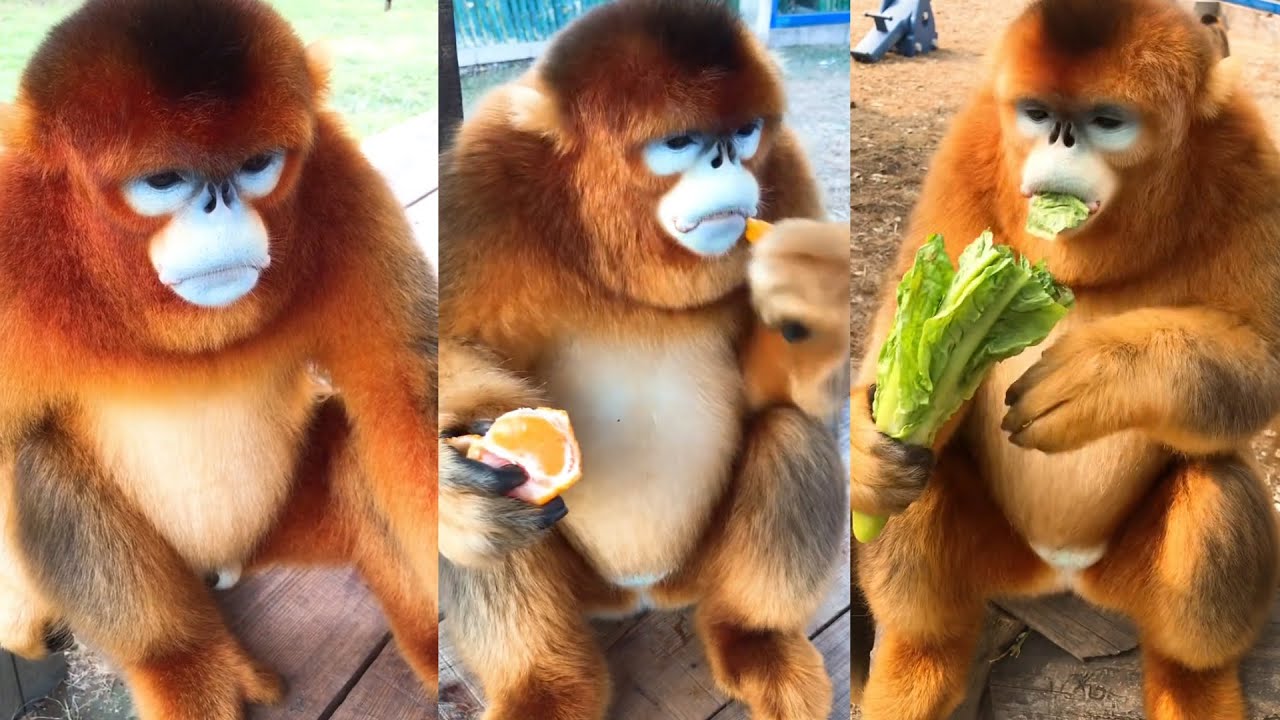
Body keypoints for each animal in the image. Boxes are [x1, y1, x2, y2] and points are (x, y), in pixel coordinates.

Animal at [0, 1, 438, 717]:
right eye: (164, 181)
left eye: (257, 163)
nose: (220, 205)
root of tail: (227, 561)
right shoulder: (14, 236)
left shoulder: (340, 187)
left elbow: (406, 392)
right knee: (42, 457)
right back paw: (185, 662)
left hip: (286, 528)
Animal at [437, 1, 849, 718]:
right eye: (681, 143)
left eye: (744, 133)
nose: (726, 160)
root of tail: (642, 589)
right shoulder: (480, 180)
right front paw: (455, 489)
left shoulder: (789, 175)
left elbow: (785, 397)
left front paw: (815, 298)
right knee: (483, 525)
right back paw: (545, 684)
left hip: (699, 570)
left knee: (793, 433)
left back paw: (754, 638)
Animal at [850, 1, 1280, 718]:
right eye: (1037, 113)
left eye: (1106, 121)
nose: (1061, 143)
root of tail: (1062, 570)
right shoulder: (971, 145)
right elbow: (902, 322)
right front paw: (863, 444)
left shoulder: (1250, 161)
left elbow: (1266, 358)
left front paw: (1106, 377)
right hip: (999, 557)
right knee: (920, 476)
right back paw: (918, 659)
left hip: (1123, 570)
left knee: (1216, 485)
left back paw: (1193, 682)